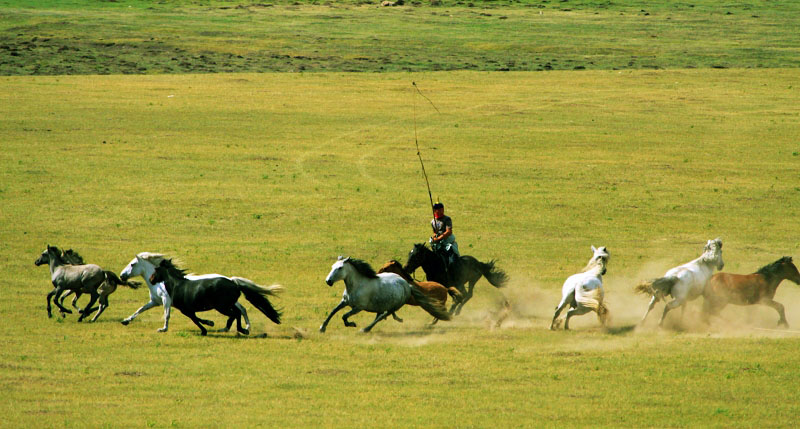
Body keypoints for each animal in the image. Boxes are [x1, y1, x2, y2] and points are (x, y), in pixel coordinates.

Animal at [120, 252, 268, 332]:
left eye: (132, 264)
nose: (122, 276)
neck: (161, 284)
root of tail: (231, 280)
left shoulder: (166, 301)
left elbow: (167, 315)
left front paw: (163, 329)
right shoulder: (154, 302)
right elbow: (140, 309)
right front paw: (126, 320)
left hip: (223, 304)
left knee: (240, 310)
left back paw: (243, 328)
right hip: (228, 303)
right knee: (242, 309)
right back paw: (245, 327)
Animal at [148, 258, 282, 334]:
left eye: (156, 269)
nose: (151, 279)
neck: (177, 285)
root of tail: (234, 283)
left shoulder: (185, 310)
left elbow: (195, 319)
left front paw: (206, 327)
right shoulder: (188, 310)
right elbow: (196, 318)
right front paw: (208, 325)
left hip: (222, 307)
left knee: (235, 314)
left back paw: (239, 330)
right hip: (228, 305)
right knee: (237, 313)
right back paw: (235, 329)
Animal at [322, 256, 454, 332]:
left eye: (340, 268)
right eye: (332, 266)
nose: (328, 281)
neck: (356, 286)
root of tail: (407, 285)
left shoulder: (358, 308)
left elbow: (344, 316)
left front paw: (351, 324)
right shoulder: (344, 302)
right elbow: (333, 312)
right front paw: (322, 328)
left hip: (394, 306)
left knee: (382, 316)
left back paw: (366, 329)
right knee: (381, 315)